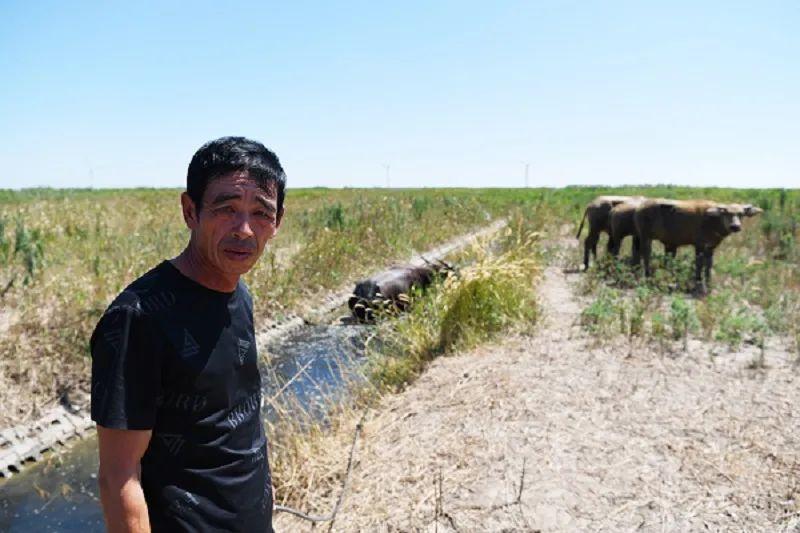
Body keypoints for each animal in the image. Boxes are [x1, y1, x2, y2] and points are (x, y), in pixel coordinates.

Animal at [632, 198, 764, 290]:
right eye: (726, 213)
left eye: (741, 214)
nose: (735, 226)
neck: (712, 221)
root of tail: (639, 207)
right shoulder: (699, 245)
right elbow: (699, 264)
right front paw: (698, 281)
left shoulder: (711, 247)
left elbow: (709, 265)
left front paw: (708, 282)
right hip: (645, 237)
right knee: (646, 255)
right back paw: (648, 276)